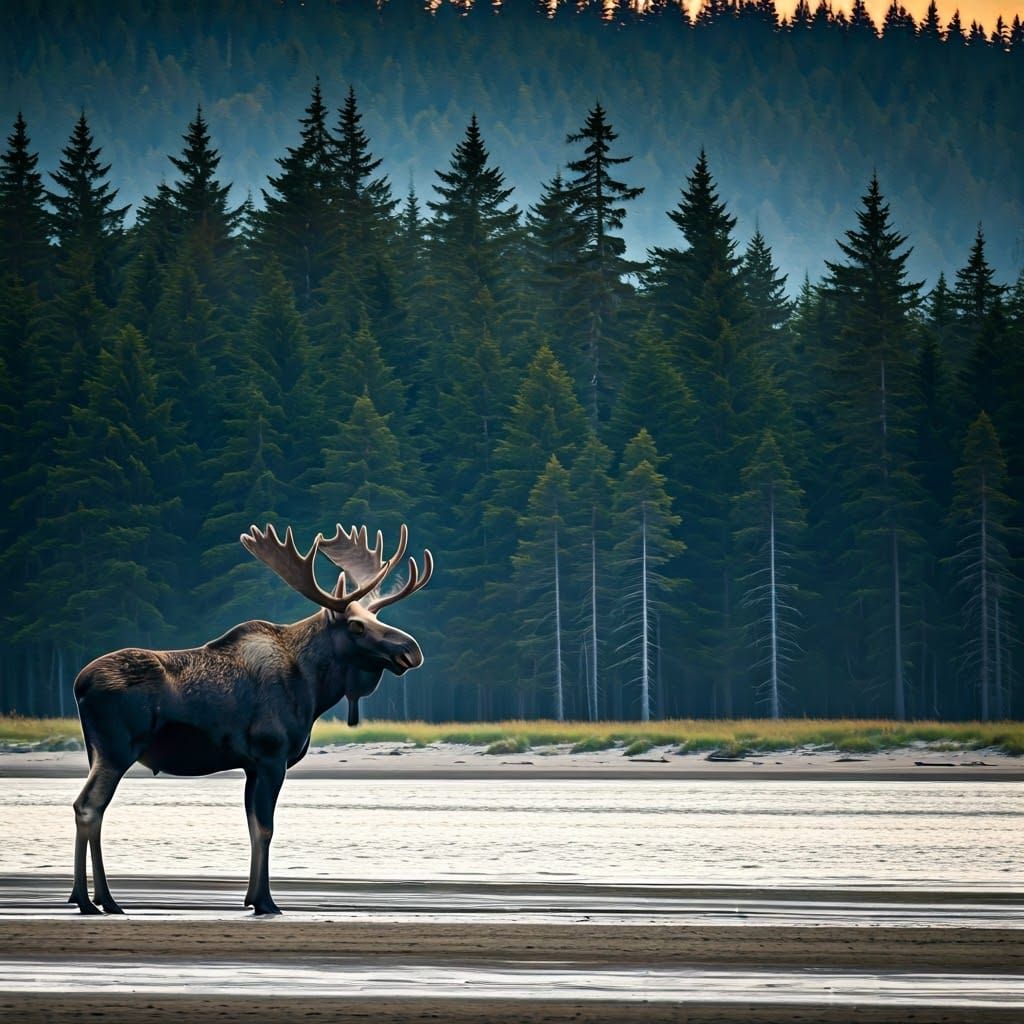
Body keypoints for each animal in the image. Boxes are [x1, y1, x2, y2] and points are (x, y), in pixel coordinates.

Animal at [69, 521, 432, 916]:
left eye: (376, 618)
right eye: (356, 626)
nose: (411, 650)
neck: (313, 687)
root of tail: (78, 684)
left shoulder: (251, 765)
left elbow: (252, 829)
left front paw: (250, 897)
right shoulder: (272, 755)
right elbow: (266, 829)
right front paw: (266, 901)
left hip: (95, 751)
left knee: (91, 807)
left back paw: (89, 898)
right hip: (117, 750)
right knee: (88, 806)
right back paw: (96, 900)